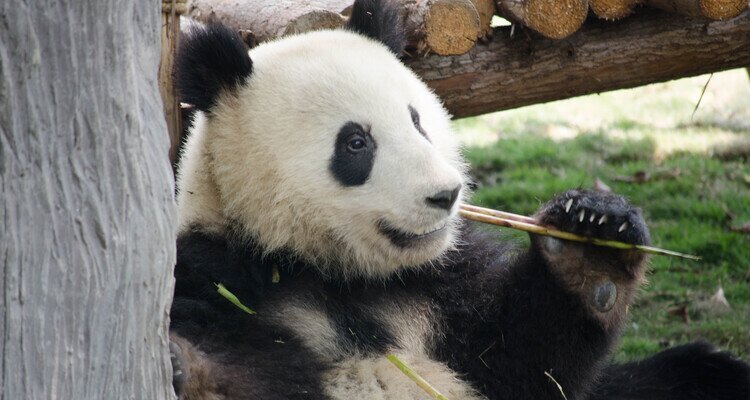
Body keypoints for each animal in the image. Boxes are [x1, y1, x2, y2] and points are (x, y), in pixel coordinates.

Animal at [168, 0, 750, 399]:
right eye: (356, 143)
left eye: (417, 120)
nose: (445, 196)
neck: (335, 274)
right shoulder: (217, 271)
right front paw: (190, 368)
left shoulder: (443, 288)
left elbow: (524, 362)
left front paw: (591, 245)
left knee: (685, 377)